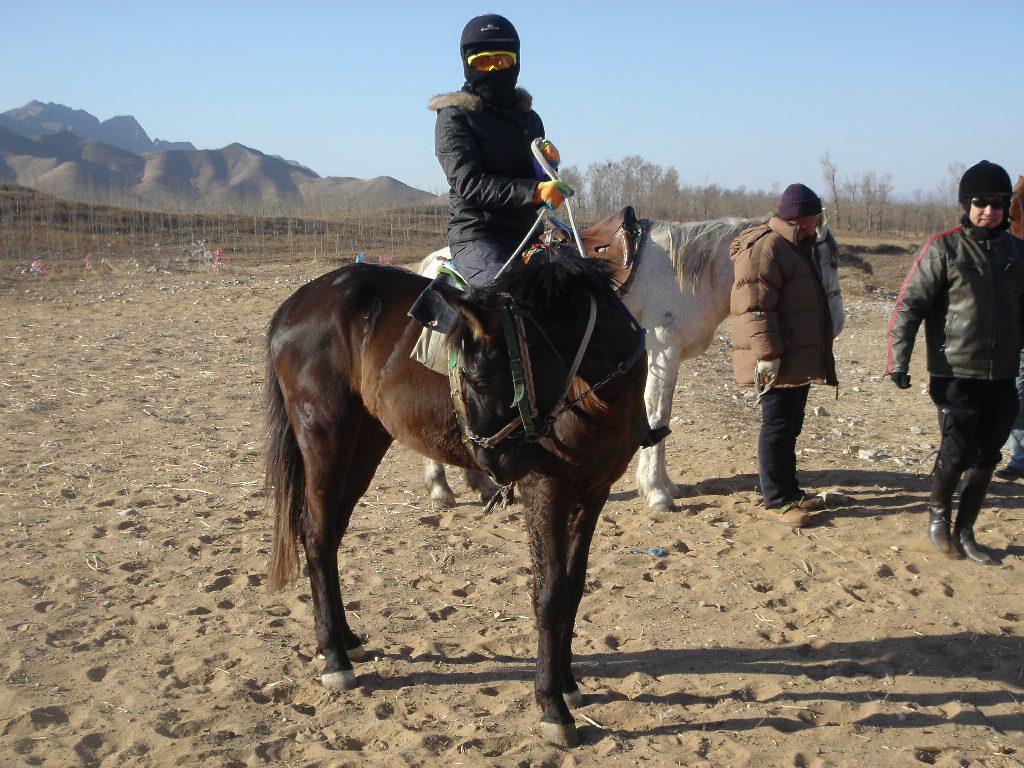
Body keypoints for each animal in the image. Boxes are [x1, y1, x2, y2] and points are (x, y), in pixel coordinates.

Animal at [264, 247, 647, 745]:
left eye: (480, 380)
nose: (493, 465)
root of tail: (297, 303)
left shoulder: (593, 494)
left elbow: (573, 586)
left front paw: (566, 682)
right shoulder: (547, 491)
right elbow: (549, 595)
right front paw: (552, 704)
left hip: (365, 442)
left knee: (329, 539)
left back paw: (346, 641)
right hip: (325, 438)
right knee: (315, 533)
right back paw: (335, 658)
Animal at [415, 215, 839, 512]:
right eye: (823, 258)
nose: (836, 322)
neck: (687, 272)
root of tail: (432, 263)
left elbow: (659, 417)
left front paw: (665, 485)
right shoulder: (663, 351)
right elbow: (657, 412)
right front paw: (657, 493)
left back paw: (477, 482)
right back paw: (441, 489)